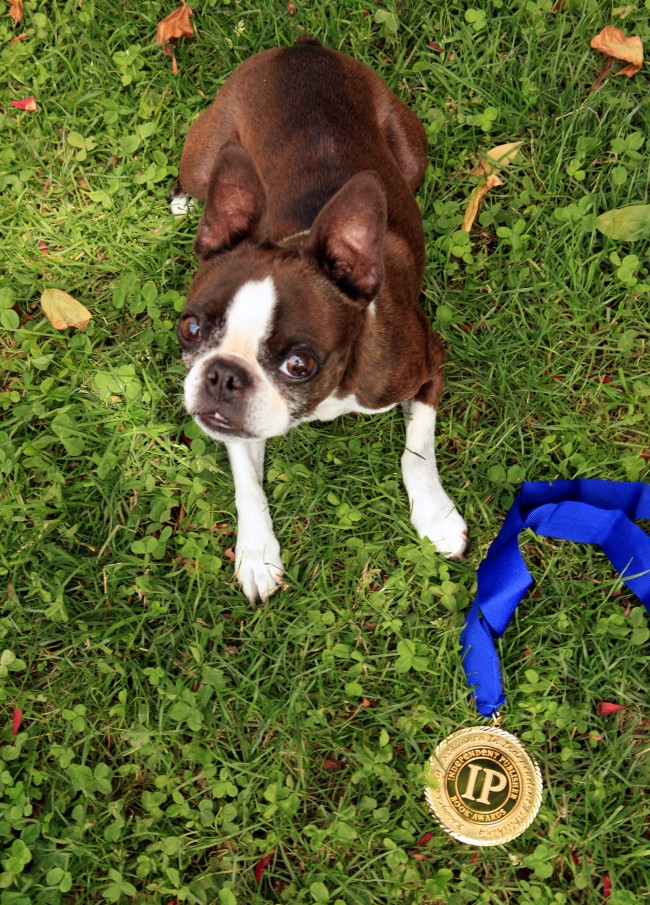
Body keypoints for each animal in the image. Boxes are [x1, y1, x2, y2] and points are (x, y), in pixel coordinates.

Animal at [172, 38, 466, 600]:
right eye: (190, 329)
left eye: (299, 364)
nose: (222, 376)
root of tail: (301, 48)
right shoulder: (236, 429)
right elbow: (247, 484)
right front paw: (256, 552)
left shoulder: (427, 364)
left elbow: (417, 448)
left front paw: (435, 515)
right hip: (206, 153)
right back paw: (180, 200)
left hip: (411, 152)